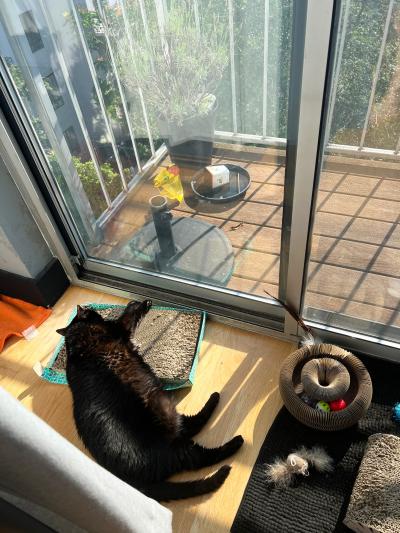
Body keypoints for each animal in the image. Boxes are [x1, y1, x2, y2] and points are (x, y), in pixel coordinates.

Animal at [57, 300, 244, 498]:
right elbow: (129, 313)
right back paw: (233, 437)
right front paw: (142, 303)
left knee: (191, 428)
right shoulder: (120, 328)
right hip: (167, 416)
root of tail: (133, 483)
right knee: (199, 450)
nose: (90, 309)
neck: (75, 334)